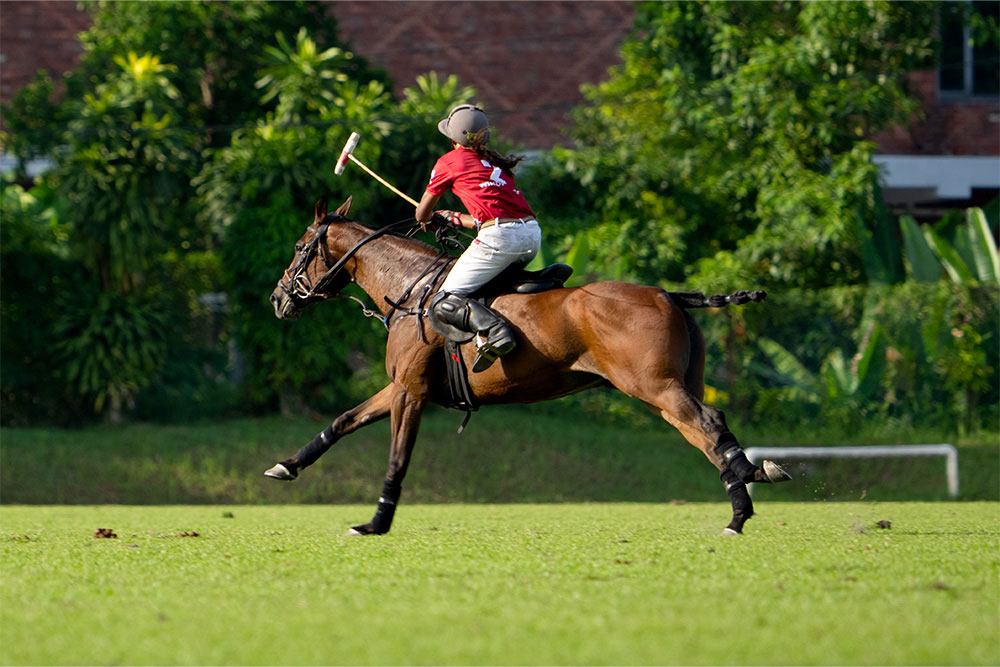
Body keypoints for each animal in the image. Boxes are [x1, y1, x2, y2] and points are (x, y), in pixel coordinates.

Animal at [264, 194, 788, 536]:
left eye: (300, 247)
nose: (277, 299)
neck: (411, 289)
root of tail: (669, 294)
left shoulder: (412, 390)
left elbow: (397, 456)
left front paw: (375, 523)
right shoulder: (403, 386)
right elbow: (344, 420)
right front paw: (286, 466)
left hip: (655, 386)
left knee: (709, 422)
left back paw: (745, 499)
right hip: (673, 387)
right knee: (706, 435)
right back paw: (745, 495)